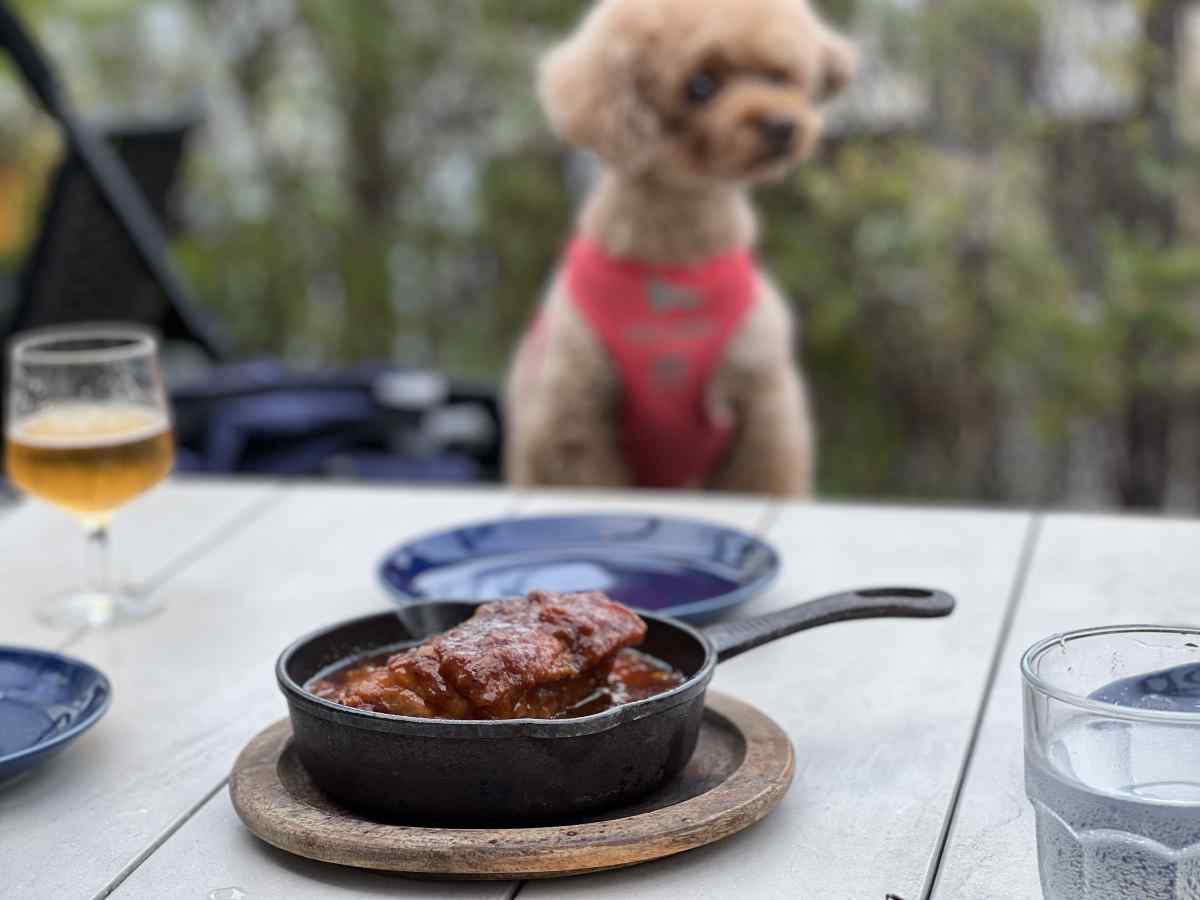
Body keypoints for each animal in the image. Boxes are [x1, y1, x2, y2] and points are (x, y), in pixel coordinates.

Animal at [506, 0, 854, 496]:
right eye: (701, 85)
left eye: (778, 76)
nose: (782, 126)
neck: (674, 260)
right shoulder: (575, 419)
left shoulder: (762, 402)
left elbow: (764, 475)